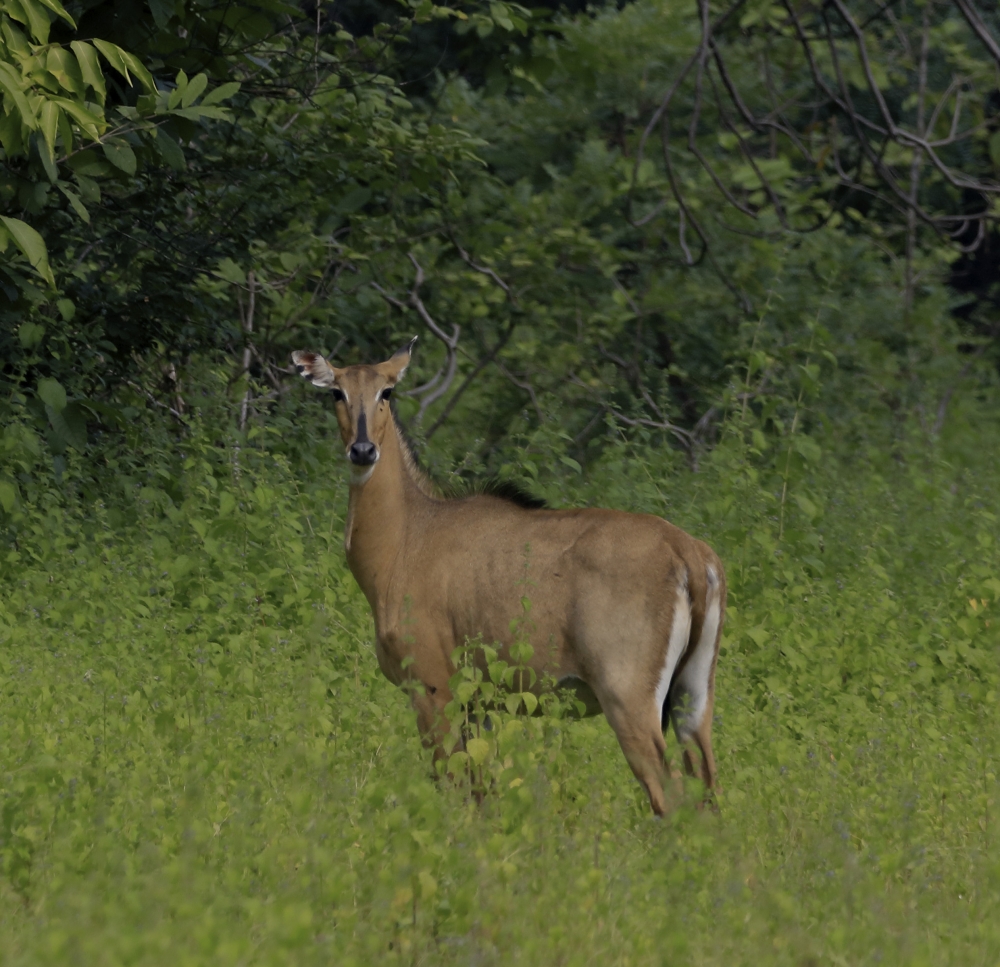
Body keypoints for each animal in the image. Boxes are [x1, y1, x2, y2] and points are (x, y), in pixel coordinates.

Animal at [291, 339, 726, 816]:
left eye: (387, 391)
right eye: (337, 392)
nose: (363, 450)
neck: (408, 535)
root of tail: (688, 553)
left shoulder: (433, 688)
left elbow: (450, 785)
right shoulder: (479, 701)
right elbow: (482, 791)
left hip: (628, 696)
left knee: (671, 795)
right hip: (692, 696)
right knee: (708, 790)